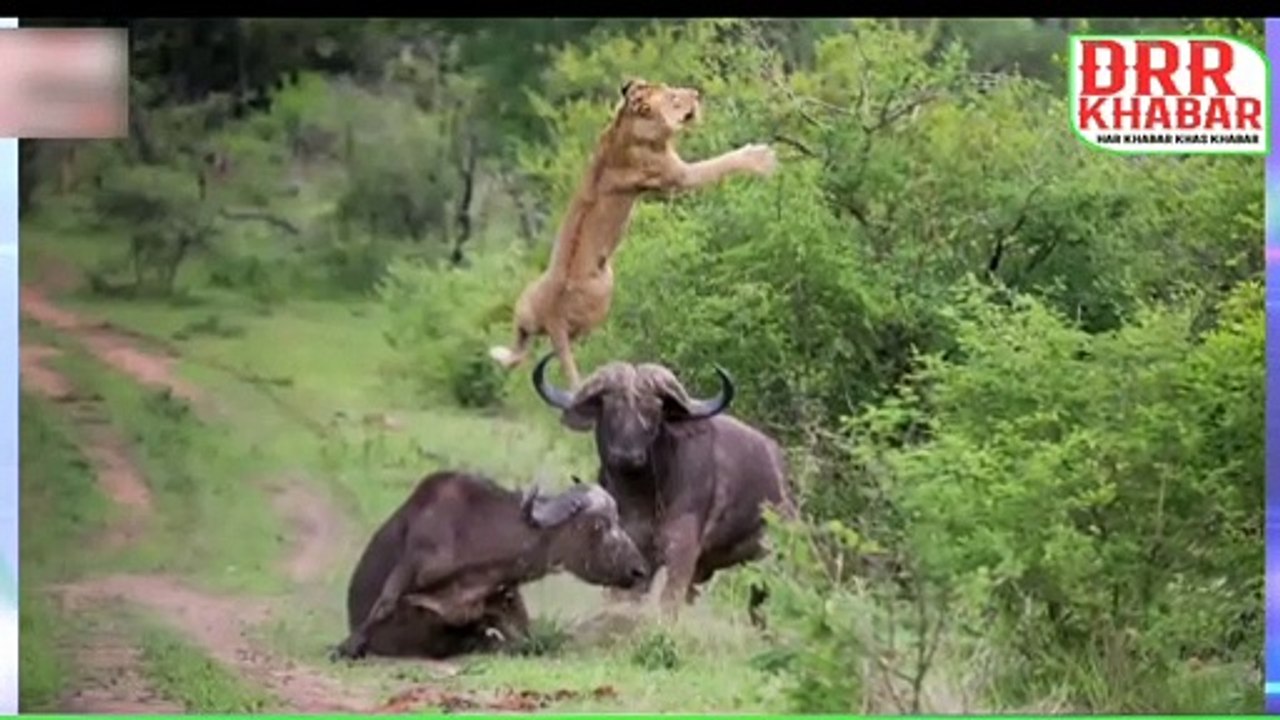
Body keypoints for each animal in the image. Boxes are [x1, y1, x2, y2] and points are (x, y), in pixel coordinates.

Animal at [333, 470, 650, 661]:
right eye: (599, 524)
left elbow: (527, 639)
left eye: (617, 520)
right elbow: (385, 602)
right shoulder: (414, 562)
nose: (639, 571)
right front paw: (348, 645)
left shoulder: (504, 599)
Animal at [488, 78, 778, 389]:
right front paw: (761, 157)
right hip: (603, 294)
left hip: (526, 305)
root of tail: (553, 318)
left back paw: (501, 354)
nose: (696, 93)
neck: (626, 125)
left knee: (521, 344)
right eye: (674, 98)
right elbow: (720, 162)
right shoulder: (678, 177)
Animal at [531, 355, 795, 624]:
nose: (627, 456)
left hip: (768, 560)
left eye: (652, 412)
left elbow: (668, 602)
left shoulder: (682, 550)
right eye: (611, 408)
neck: (641, 498)